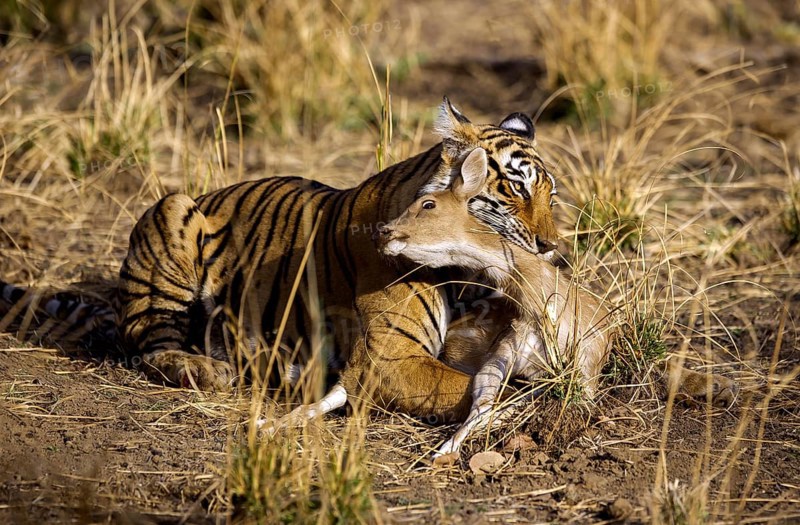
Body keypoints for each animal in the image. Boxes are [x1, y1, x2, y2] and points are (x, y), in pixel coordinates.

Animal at [0, 98, 559, 424]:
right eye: (514, 189)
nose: (551, 247)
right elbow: (493, 392)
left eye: (551, 196)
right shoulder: (390, 362)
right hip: (172, 210)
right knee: (149, 345)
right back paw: (208, 370)